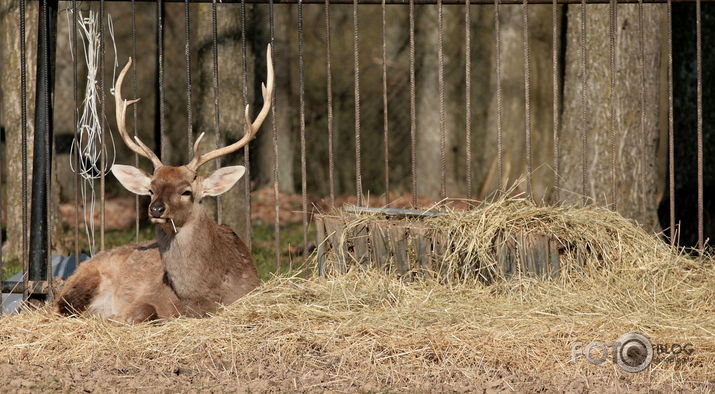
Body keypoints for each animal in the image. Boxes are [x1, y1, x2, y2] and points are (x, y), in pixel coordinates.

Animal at [53, 44, 274, 324]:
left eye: (186, 191)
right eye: (151, 189)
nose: (156, 209)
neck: (201, 297)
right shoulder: (149, 297)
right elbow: (142, 311)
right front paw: (113, 317)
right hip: (83, 279)